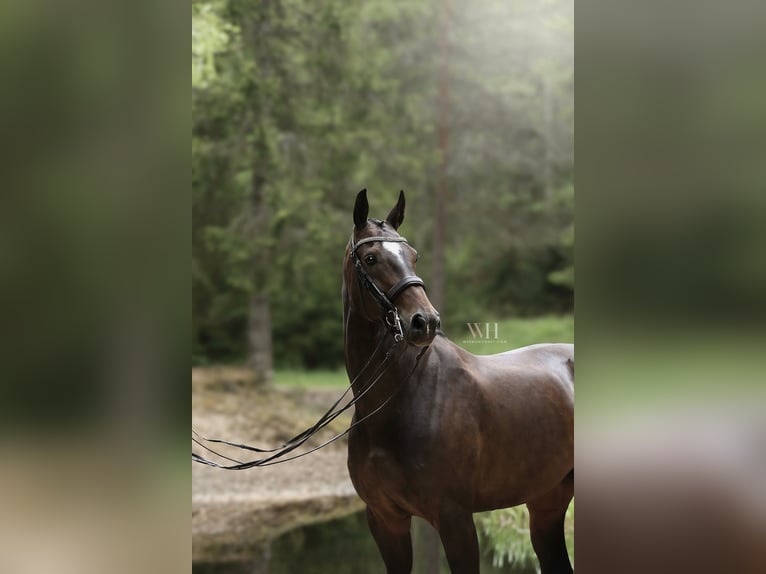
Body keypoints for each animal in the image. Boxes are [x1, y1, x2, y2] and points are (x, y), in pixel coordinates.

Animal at [342, 189, 574, 574]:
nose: (425, 322)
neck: (400, 399)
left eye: (414, 256)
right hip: (547, 502)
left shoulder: (455, 520)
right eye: (371, 257)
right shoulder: (385, 520)